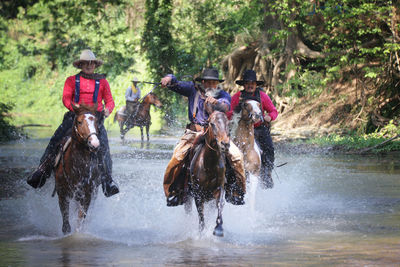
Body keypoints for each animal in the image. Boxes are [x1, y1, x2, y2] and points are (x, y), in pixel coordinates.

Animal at [54, 103, 101, 236]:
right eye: (79, 122)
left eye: (96, 121)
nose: (95, 143)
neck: (76, 168)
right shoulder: (62, 194)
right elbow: (66, 224)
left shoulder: (87, 195)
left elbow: (80, 220)